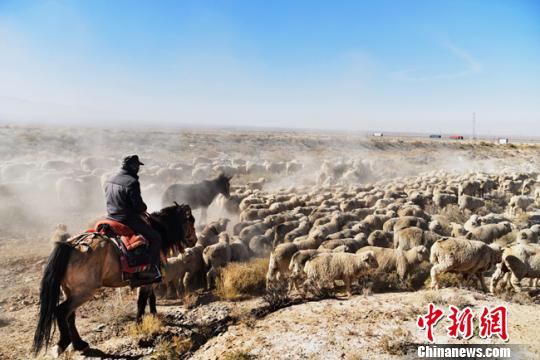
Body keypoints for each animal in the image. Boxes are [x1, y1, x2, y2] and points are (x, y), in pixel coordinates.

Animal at [31, 202, 197, 358]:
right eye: (190, 220)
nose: (194, 241)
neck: (157, 231)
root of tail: (71, 245)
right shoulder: (149, 280)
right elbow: (143, 302)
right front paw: (140, 324)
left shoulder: (147, 282)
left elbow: (150, 299)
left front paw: (153, 317)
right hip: (84, 292)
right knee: (61, 312)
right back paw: (62, 344)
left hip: (69, 290)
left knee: (70, 316)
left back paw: (80, 344)